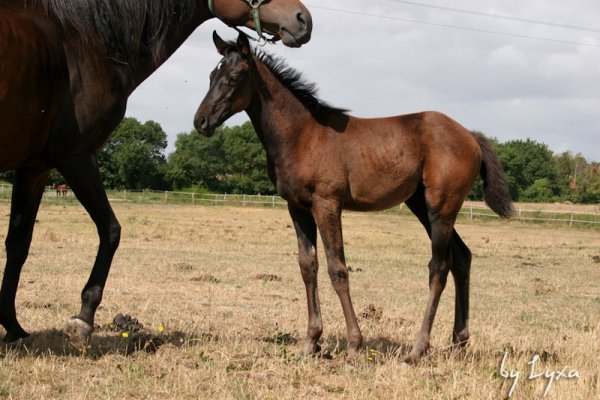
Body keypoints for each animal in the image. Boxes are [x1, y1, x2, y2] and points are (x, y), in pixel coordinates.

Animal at [0, 0, 310, 344]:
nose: (303, 19)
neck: (84, 43)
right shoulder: (75, 155)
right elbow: (110, 230)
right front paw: (83, 318)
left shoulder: (34, 168)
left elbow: (18, 244)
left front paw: (13, 327)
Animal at [195, 31, 512, 362]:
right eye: (211, 76)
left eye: (234, 77)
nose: (200, 121)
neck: (301, 134)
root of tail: (470, 135)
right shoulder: (297, 207)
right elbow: (308, 266)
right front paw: (310, 341)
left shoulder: (327, 204)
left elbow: (338, 269)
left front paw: (354, 344)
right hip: (421, 205)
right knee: (462, 257)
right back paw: (459, 342)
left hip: (441, 208)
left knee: (439, 267)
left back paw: (417, 348)